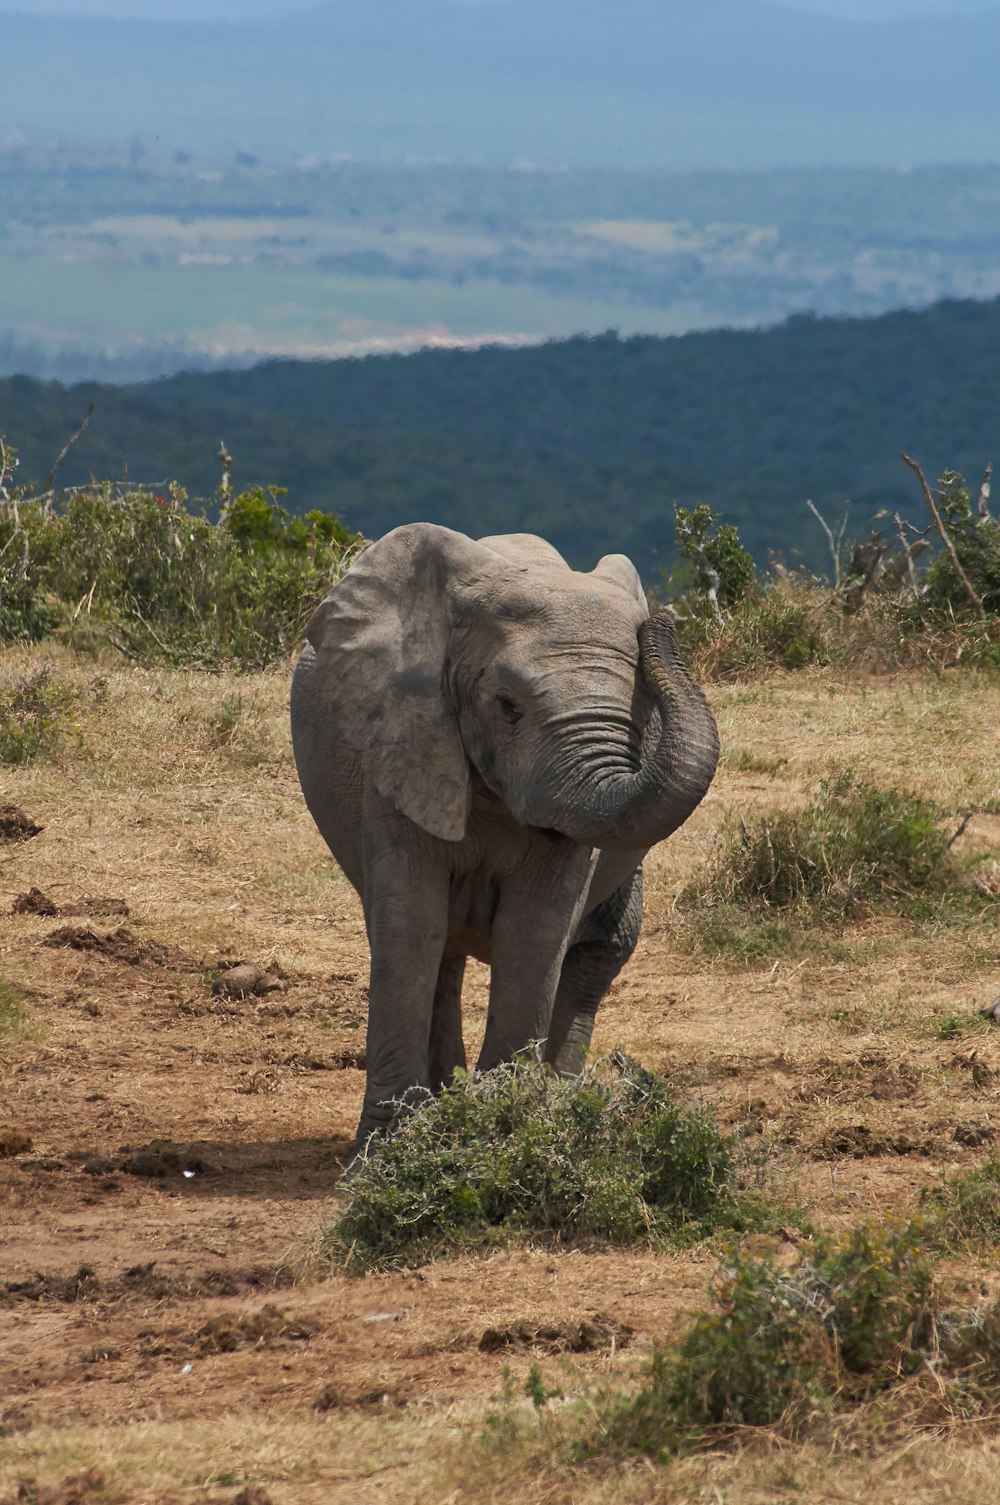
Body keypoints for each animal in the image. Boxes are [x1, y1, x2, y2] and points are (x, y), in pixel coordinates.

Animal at [289, 523, 719, 1143]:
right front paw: (390, 1148)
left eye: (642, 712)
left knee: (599, 952)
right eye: (508, 707)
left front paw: (503, 1130)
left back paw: (559, 1101)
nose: (662, 622)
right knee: (439, 947)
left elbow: (535, 930)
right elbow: (410, 924)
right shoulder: (401, 745)